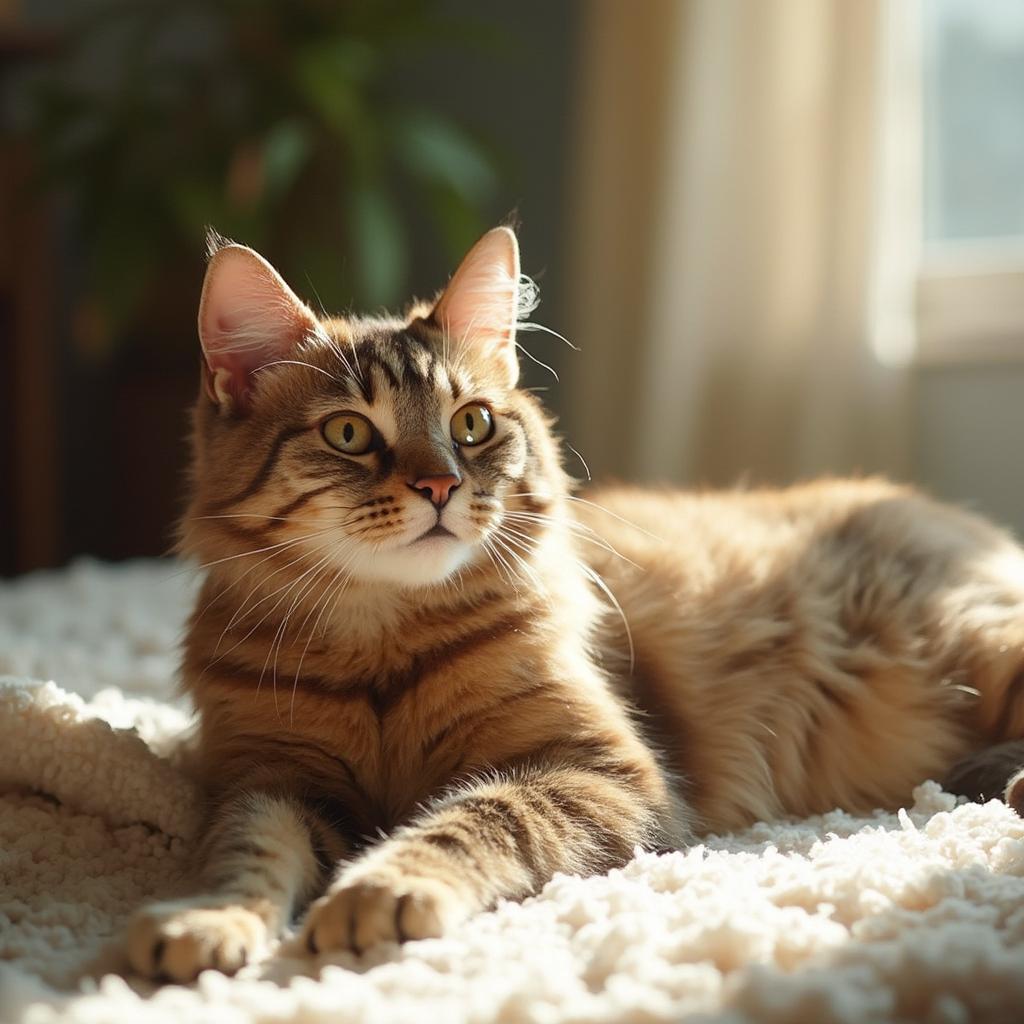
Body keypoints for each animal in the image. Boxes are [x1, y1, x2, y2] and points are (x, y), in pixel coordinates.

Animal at [125, 226, 1024, 983]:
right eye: (348, 434)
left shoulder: (603, 772)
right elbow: (244, 855)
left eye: (472, 423)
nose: (440, 485)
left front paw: (380, 889)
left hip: (979, 644)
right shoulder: (269, 779)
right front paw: (204, 922)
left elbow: (476, 817)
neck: (382, 641)